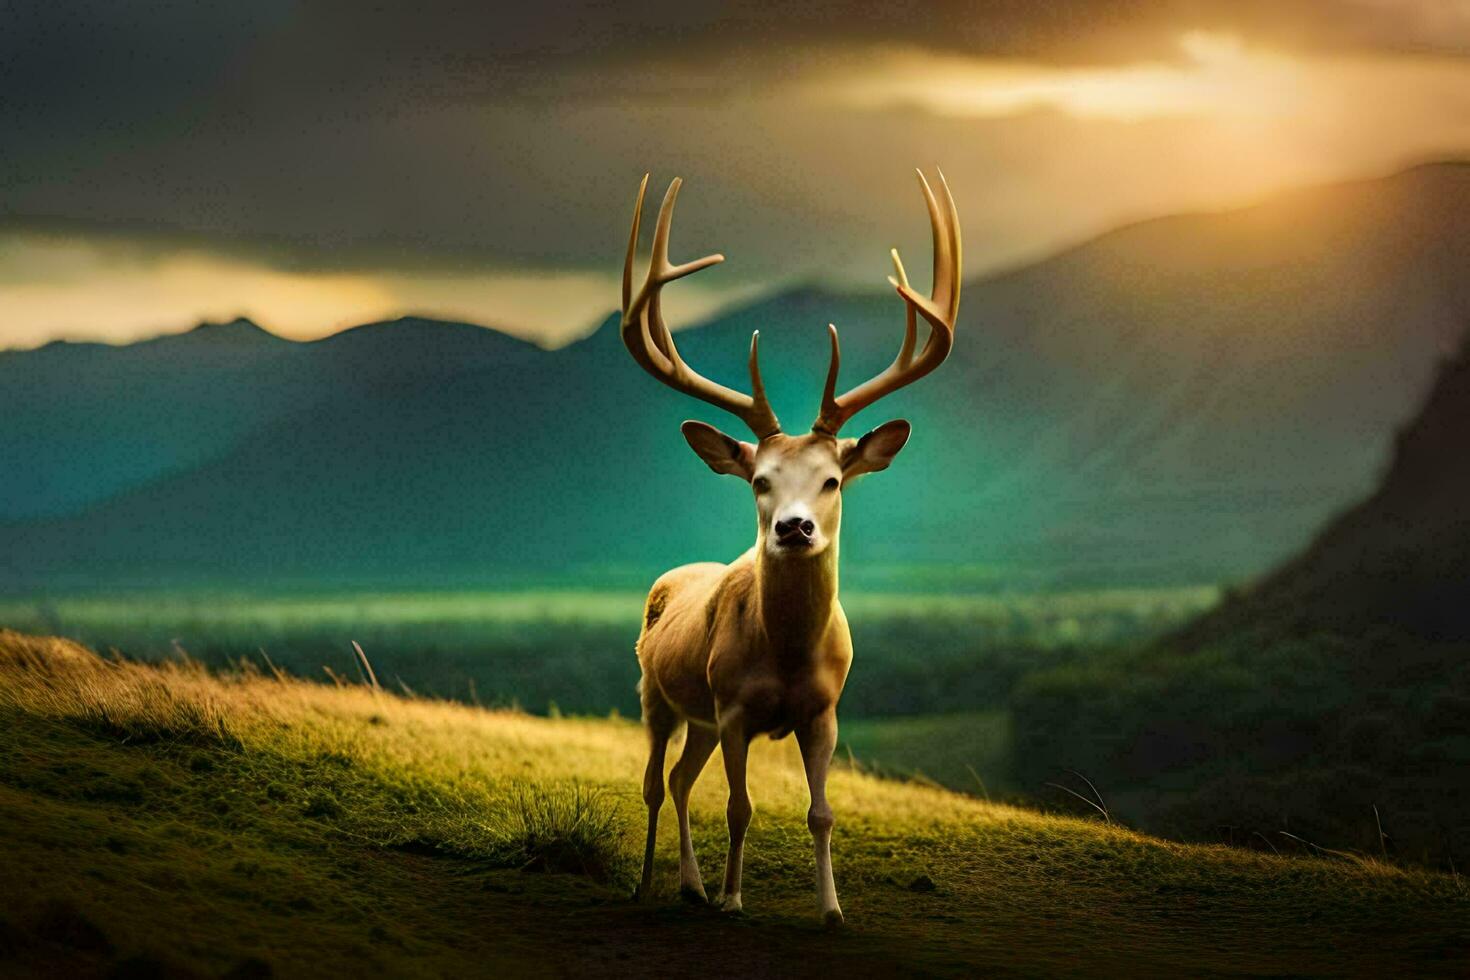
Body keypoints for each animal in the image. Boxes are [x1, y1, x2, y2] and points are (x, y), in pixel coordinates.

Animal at [623, 168, 958, 928]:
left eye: (833, 479)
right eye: (760, 481)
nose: (794, 528)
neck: (786, 655)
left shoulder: (823, 711)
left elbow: (821, 813)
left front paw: (831, 909)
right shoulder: (734, 707)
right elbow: (740, 808)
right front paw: (733, 897)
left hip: (700, 715)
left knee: (682, 779)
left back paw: (689, 884)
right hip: (657, 692)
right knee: (656, 781)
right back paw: (653, 882)